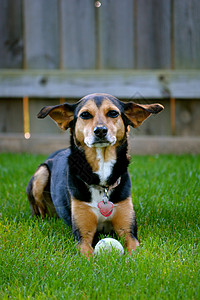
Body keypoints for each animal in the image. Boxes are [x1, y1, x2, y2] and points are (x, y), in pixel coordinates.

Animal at [26, 92, 164, 256]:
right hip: (41, 174)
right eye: (85, 115)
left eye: (113, 113)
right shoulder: (83, 235)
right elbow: (87, 254)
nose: (100, 130)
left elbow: (134, 251)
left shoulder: (128, 230)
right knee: (40, 212)